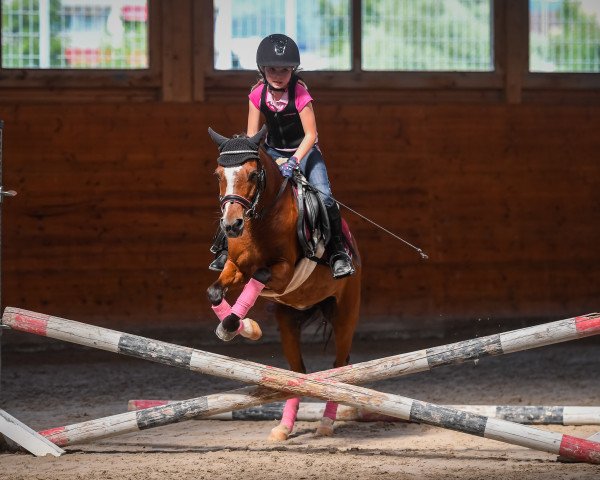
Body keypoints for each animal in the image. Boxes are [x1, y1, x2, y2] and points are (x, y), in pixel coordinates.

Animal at [204, 126, 364, 442]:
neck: (259, 221)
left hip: (344, 313)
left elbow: (260, 277)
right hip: (288, 318)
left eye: (254, 174)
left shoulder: (283, 273)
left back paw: (326, 422)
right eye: (218, 174)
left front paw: (236, 325)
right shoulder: (234, 267)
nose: (231, 225)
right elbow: (215, 291)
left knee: (340, 364)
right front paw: (242, 327)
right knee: (297, 373)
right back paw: (284, 427)